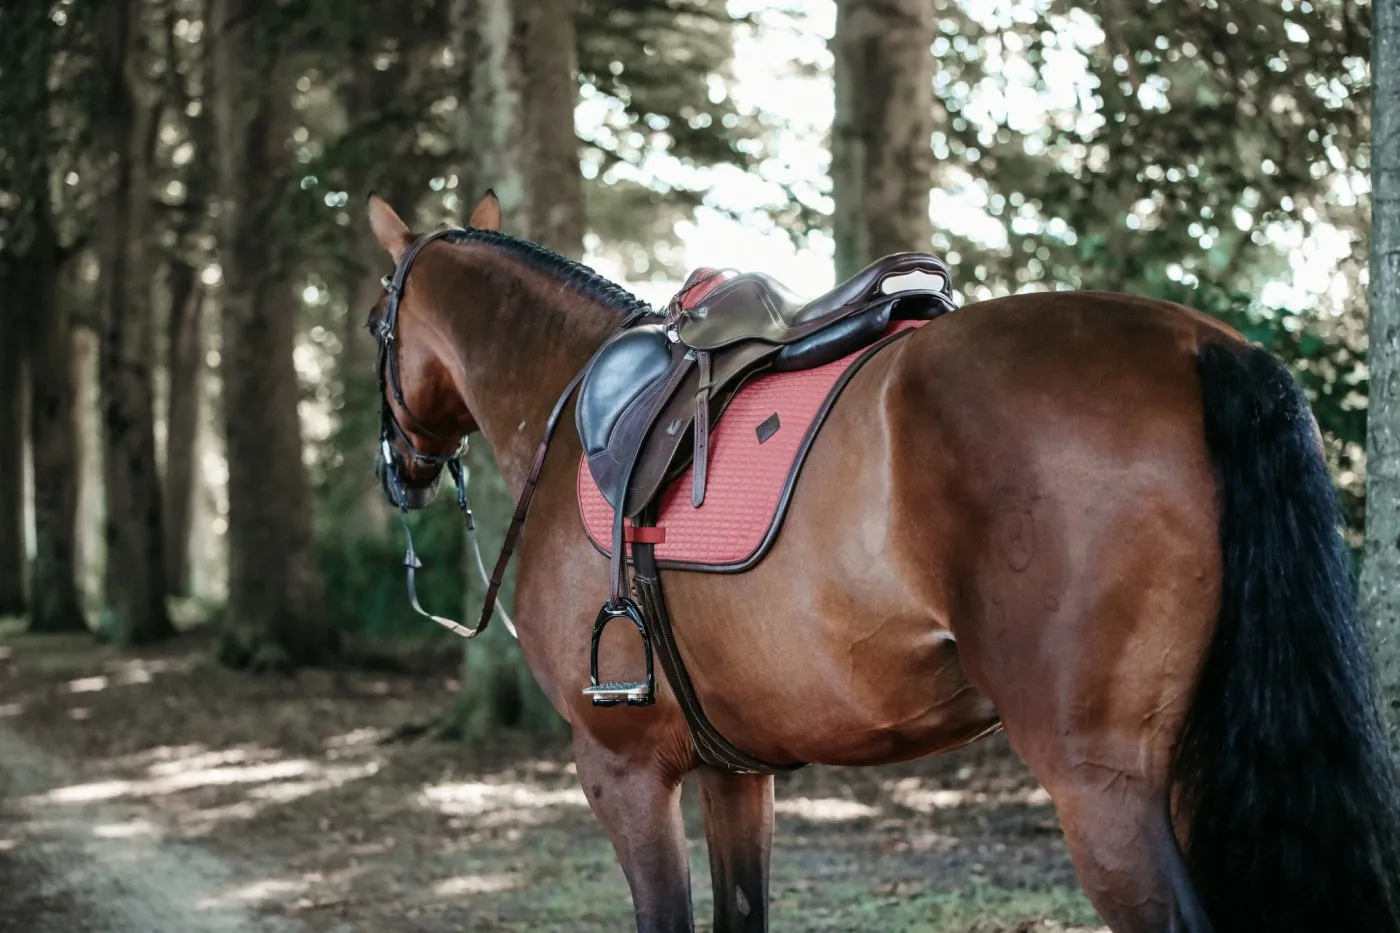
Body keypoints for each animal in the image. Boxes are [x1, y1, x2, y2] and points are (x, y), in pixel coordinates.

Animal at [358, 190, 1400, 930]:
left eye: (375, 322)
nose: (398, 470)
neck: (572, 403)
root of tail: (1202, 347)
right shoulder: (737, 772)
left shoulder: (622, 769)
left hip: (1104, 785)